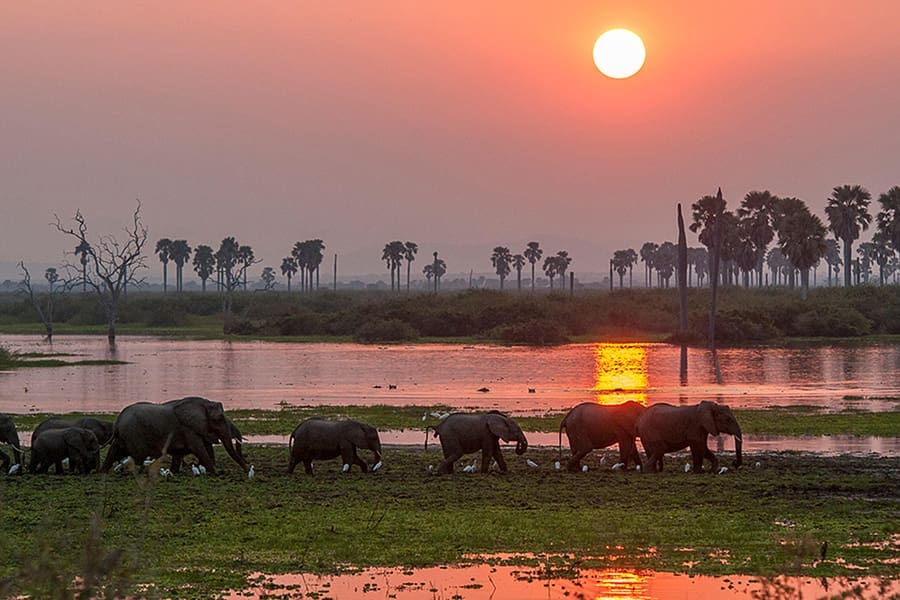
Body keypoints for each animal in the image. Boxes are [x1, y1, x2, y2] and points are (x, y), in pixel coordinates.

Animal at [102, 396, 248, 476]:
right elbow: (199, 448)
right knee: (138, 457)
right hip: (134, 435)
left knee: (114, 451)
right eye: (219, 418)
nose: (248, 469)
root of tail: (118, 421)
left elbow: (183, 452)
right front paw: (216, 473)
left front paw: (175, 472)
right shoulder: (188, 428)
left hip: (123, 436)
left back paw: (102, 472)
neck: (204, 402)